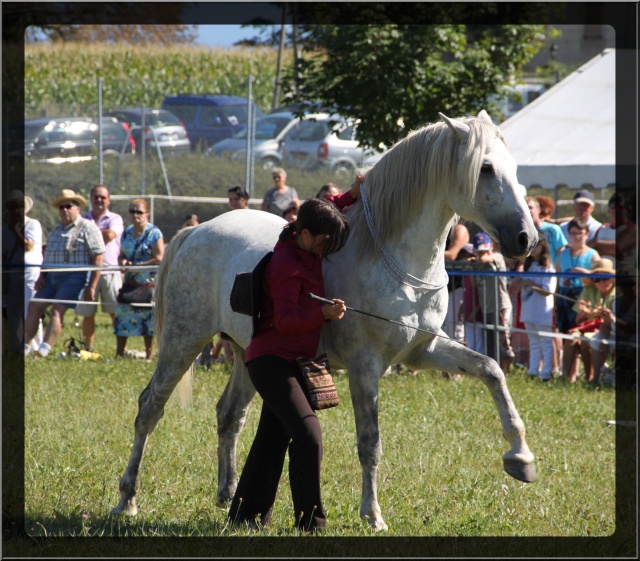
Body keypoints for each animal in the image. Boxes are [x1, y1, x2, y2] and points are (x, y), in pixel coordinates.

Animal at [112, 109, 536, 528]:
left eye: (514, 166)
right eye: (485, 168)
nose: (526, 238)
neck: (390, 260)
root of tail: (195, 230)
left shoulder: (423, 352)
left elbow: (491, 369)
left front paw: (521, 458)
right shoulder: (366, 366)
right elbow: (369, 442)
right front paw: (372, 514)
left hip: (244, 356)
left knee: (229, 415)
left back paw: (230, 496)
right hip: (183, 342)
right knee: (150, 408)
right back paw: (127, 499)